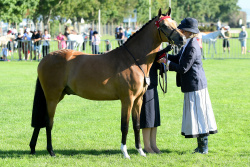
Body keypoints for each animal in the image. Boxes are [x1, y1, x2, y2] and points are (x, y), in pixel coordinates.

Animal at [30, 7, 185, 159]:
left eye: (175, 23)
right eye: (164, 25)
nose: (182, 39)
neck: (133, 60)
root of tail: (44, 59)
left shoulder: (138, 100)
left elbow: (136, 125)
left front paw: (141, 151)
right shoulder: (127, 99)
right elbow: (125, 126)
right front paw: (125, 153)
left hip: (56, 96)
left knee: (41, 120)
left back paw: (32, 148)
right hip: (52, 97)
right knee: (48, 122)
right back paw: (51, 151)